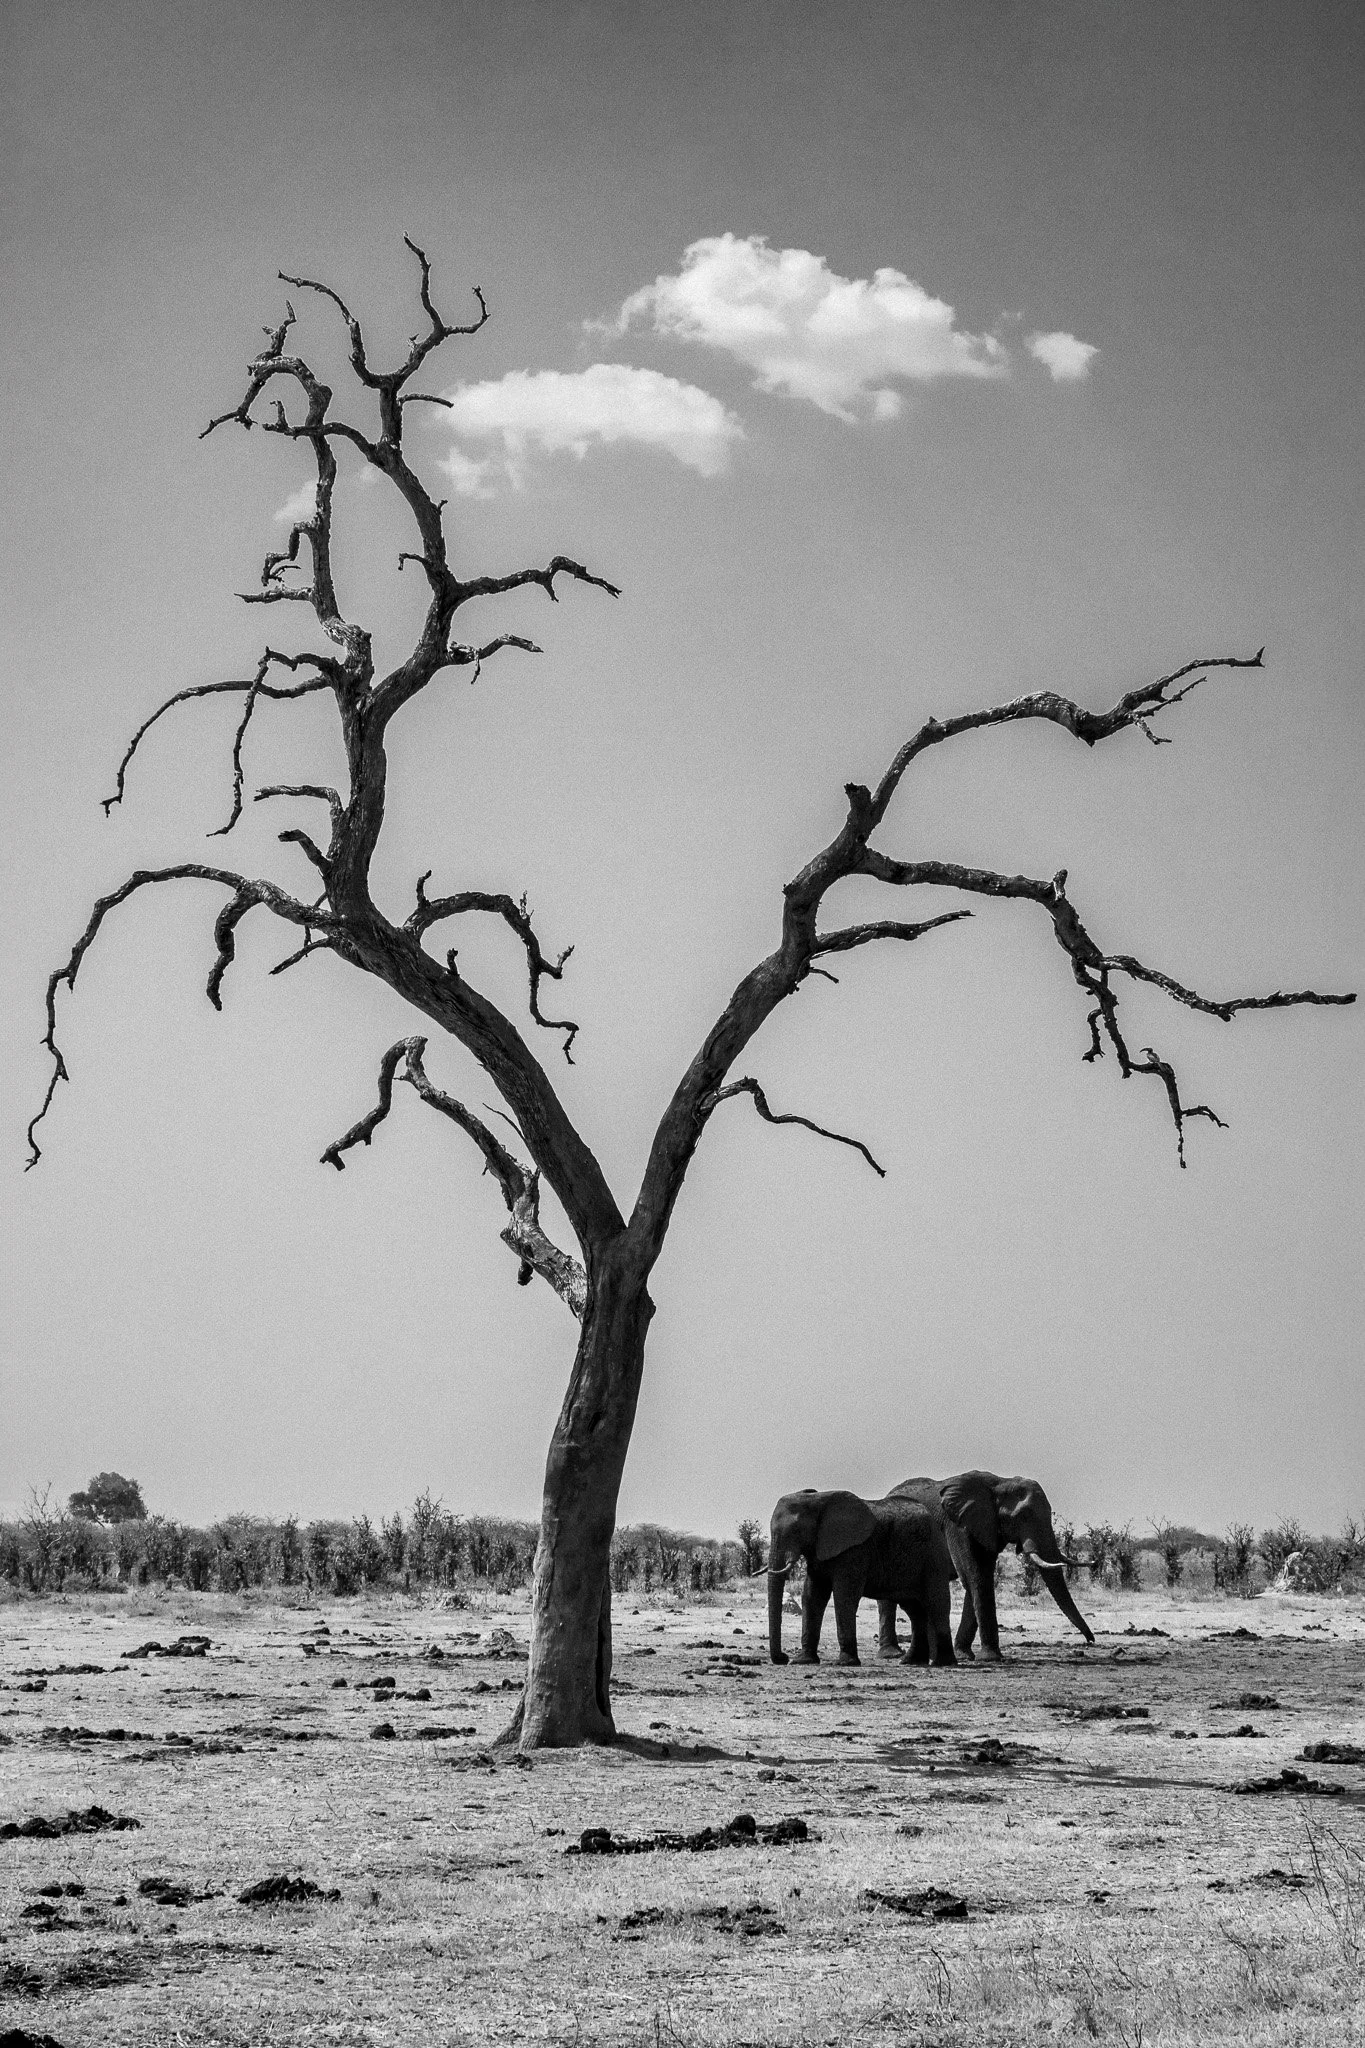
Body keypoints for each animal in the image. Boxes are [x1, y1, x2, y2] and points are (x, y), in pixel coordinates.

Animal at [766, 1487, 956, 1667]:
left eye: (796, 1530)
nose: (783, 1658)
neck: (817, 1500)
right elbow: (812, 1596)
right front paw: (803, 1661)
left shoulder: (854, 1550)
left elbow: (844, 1596)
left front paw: (844, 1663)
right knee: (915, 1610)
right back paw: (911, 1661)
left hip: (933, 1557)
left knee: (936, 1604)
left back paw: (943, 1662)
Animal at [875, 1472, 1094, 1662]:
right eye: (1023, 1516)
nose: (1090, 1641)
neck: (1000, 1484)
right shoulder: (957, 1526)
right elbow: (975, 1577)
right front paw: (991, 1658)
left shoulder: (987, 1528)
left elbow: (980, 1577)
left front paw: (964, 1655)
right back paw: (891, 1654)